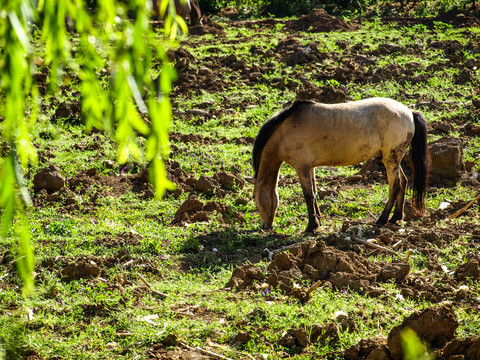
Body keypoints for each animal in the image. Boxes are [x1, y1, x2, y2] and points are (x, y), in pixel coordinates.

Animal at [246, 97, 430, 233]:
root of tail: (409, 112)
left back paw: (382, 219)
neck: (285, 131)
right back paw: (396, 217)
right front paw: (318, 221)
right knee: (404, 181)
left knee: (396, 185)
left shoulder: (302, 167)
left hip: (390, 159)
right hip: (393, 159)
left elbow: (308, 195)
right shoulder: (310, 168)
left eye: (254, 197)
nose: (265, 227)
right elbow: (314, 193)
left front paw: (311, 226)